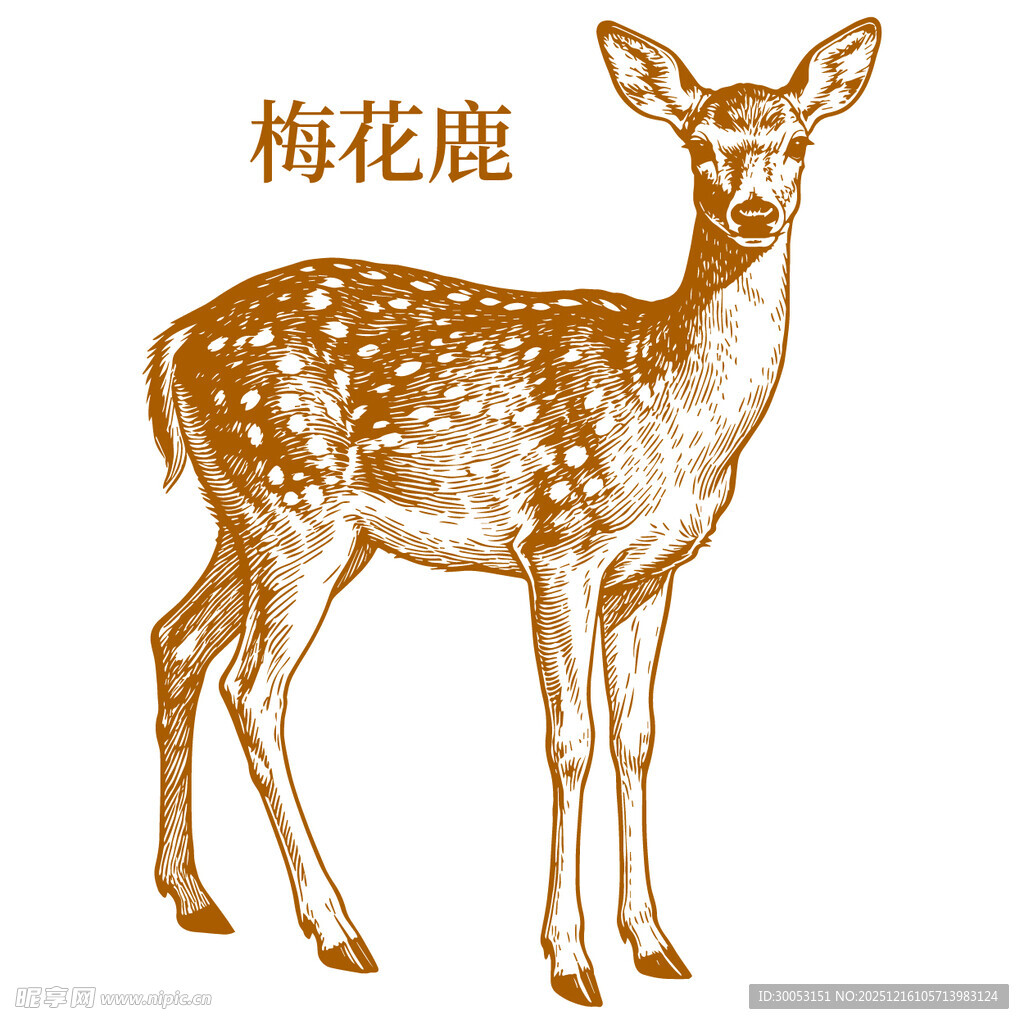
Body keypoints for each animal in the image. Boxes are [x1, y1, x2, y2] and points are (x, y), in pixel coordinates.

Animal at [147, 18, 880, 1007]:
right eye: (699, 145)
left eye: (798, 142)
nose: (756, 211)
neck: (678, 414)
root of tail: (175, 339)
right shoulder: (561, 544)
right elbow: (570, 739)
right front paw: (569, 959)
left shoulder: (650, 572)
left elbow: (637, 736)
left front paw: (655, 943)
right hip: (295, 507)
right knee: (253, 690)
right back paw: (337, 930)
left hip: (256, 518)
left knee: (178, 640)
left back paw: (193, 897)